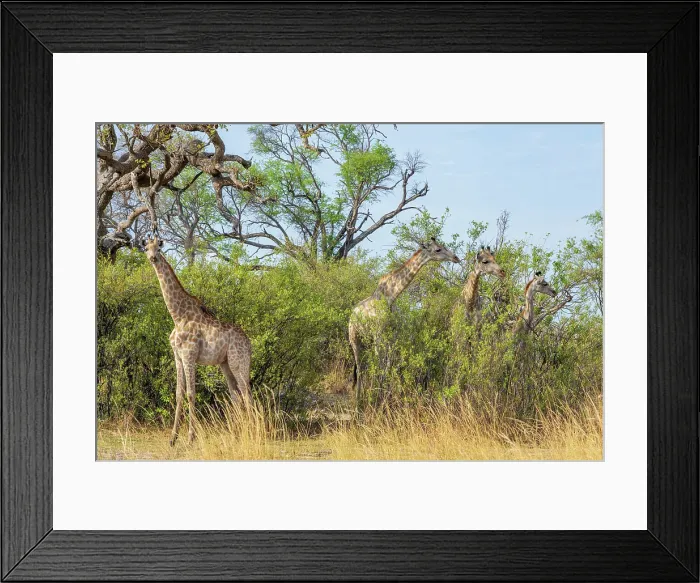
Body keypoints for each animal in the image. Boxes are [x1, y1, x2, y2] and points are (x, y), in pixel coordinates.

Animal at [143, 236, 252, 445]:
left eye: (159, 248)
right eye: (146, 248)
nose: (153, 258)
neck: (177, 316)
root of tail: (250, 344)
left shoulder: (189, 355)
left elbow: (191, 394)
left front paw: (191, 437)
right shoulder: (177, 356)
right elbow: (178, 394)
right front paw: (173, 438)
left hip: (238, 362)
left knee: (246, 393)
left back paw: (253, 432)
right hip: (225, 364)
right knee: (236, 395)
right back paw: (236, 434)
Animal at [348, 237, 460, 407]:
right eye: (438, 249)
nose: (456, 258)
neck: (391, 296)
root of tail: (351, 315)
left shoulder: (393, 334)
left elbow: (388, 365)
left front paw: (384, 395)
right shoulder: (379, 333)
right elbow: (380, 364)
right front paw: (376, 397)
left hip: (365, 339)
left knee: (364, 366)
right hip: (354, 338)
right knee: (360, 368)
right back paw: (358, 401)